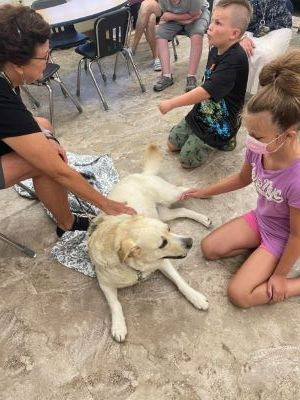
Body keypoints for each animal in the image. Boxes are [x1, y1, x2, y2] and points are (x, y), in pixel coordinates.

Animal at [88, 144, 211, 340]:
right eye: (162, 243)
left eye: (169, 230)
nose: (190, 241)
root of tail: (141, 174)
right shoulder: (104, 284)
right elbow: (115, 304)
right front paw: (119, 326)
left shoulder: (163, 263)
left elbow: (180, 282)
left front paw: (196, 297)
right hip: (163, 213)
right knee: (181, 210)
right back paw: (202, 218)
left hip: (169, 196)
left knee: (184, 190)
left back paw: (203, 192)